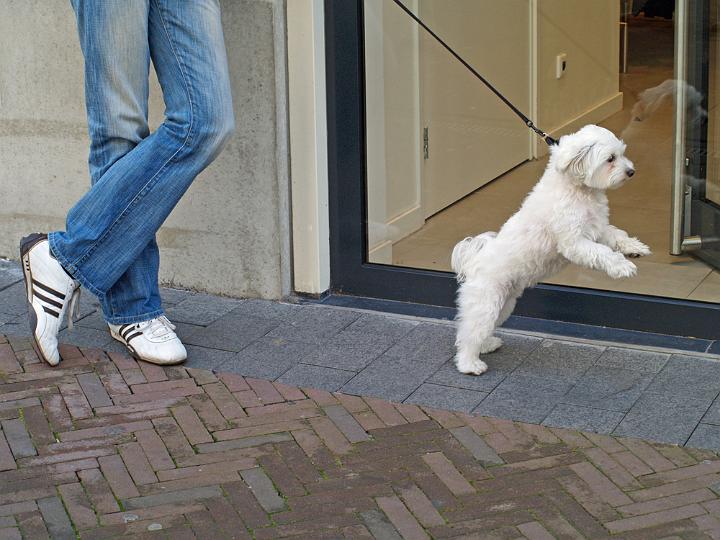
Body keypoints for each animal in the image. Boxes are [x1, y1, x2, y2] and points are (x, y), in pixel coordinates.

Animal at [452, 124, 648, 374]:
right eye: (610, 159)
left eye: (622, 153)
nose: (632, 171)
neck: (577, 189)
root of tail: (473, 262)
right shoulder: (574, 242)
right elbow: (603, 253)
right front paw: (622, 267)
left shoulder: (598, 228)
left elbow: (616, 236)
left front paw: (634, 247)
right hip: (485, 302)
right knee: (470, 333)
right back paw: (469, 363)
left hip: (504, 303)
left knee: (483, 329)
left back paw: (487, 346)